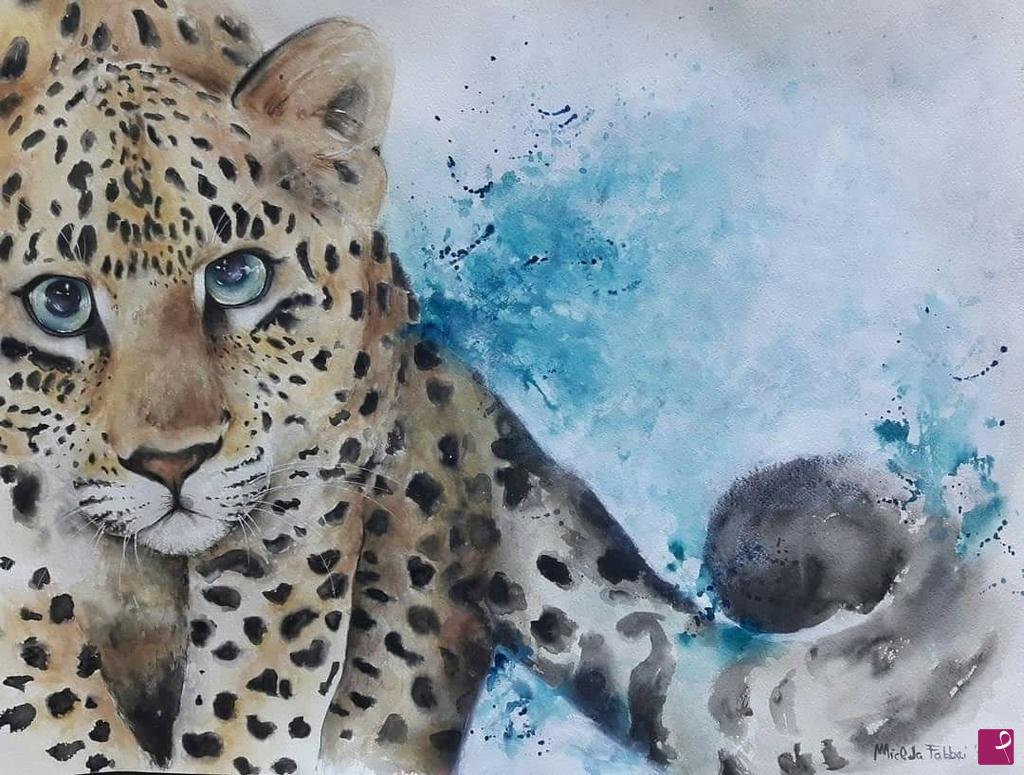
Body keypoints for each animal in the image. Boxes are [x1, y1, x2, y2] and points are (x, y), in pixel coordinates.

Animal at [0, 2, 1001, 774]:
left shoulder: (299, 505)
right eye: (59, 302)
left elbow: (255, 693)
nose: (174, 465)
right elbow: (49, 708)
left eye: (238, 276)